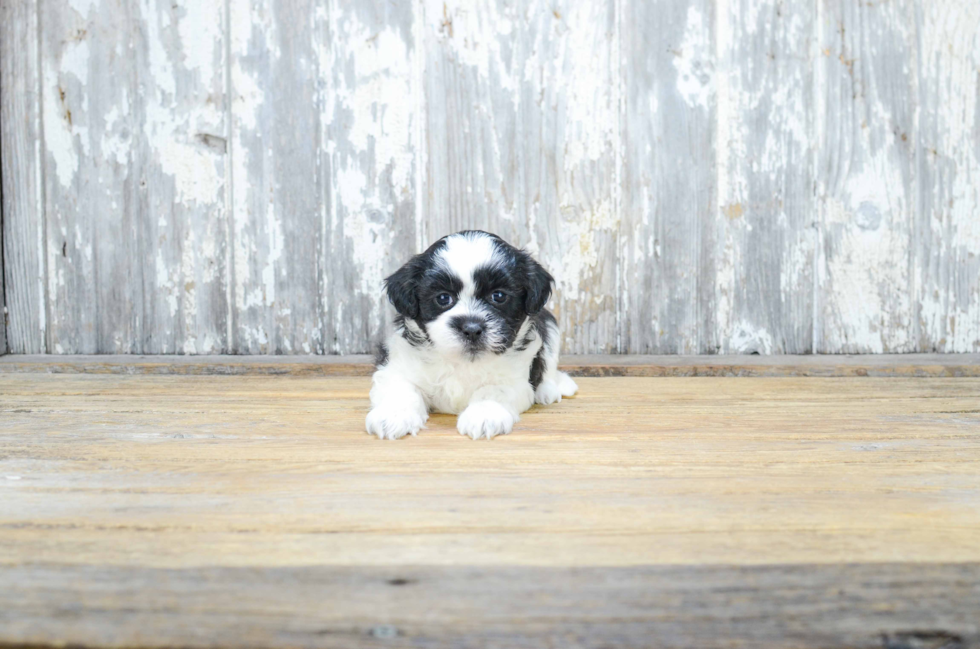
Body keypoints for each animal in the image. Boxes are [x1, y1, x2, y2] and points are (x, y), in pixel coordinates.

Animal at [370, 229, 580, 440]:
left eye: (498, 296)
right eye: (443, 298)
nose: (471, 328)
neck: (465, 362)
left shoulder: (516, 381)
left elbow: (493, 390)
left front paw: (484, 414)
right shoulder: (399, 365)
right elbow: (400, 387)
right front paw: (393, 415)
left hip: (549, 324)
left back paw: (549, 389)